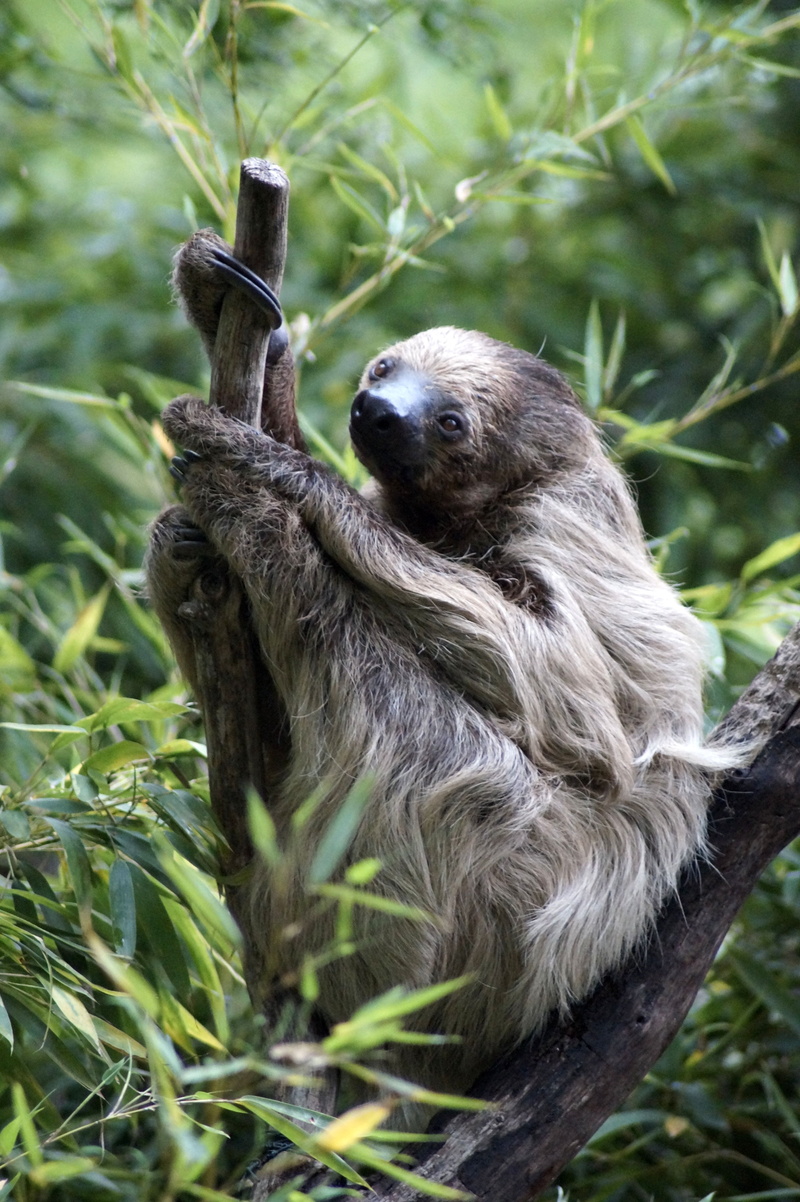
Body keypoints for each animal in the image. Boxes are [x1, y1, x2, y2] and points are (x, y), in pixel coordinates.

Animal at [146, 233, 740, 1135]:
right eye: (385, 367)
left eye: (451, 421)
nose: (379, 411)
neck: (466, 518)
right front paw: (242, 320)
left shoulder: (569, 521)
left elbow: (569, 699)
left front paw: (269, 472)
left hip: (513, 935)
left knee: (432, 745)